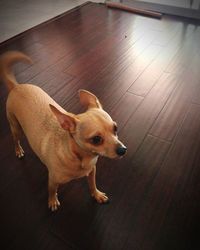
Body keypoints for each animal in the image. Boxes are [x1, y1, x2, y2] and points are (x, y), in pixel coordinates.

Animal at [0, 50, 126, 211]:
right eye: (96, 139)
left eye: (115, 128)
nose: (123, 150)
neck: (81, 157)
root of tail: (16, 86)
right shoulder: (53, 180)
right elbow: (51, 190)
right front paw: (52, 201)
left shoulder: (92, 171)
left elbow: (92, 184)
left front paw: (96, 195)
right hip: (16, 128)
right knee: (15, 140)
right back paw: (18, 151)